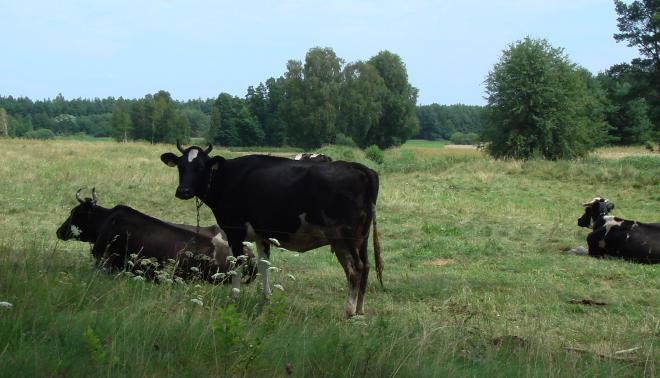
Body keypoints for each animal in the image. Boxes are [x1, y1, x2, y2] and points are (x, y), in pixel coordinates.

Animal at [159, 141, 382, 316]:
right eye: (180, 166)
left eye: (201, 167)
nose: (183, 191)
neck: (228, 177)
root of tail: (361, 169)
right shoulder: (262, 235)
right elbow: (264, 264)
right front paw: (265, 298)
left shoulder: (235, 231)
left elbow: (237, 264)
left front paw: (234, 298)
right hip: (361, 237)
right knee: (366, 266)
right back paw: (360, 310)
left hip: (342, 237)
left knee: (355, 268)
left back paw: (349, 311)